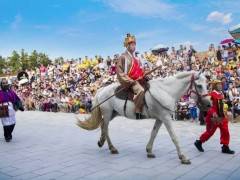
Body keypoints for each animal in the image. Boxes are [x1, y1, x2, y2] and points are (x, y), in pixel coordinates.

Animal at [77, 71, 210, 164]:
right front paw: (183, 157)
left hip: (113, 114)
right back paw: (111, 147)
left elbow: (153, 133)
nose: (208, 104)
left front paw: (149, 151)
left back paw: (105, 143)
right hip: (108, 113)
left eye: (206, 84)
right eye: (199, 86)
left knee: (104, 127)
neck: (166, 91)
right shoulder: (166, 118)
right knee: (105, 127)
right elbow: (174, 137)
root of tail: (101, 90)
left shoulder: (160, 118)